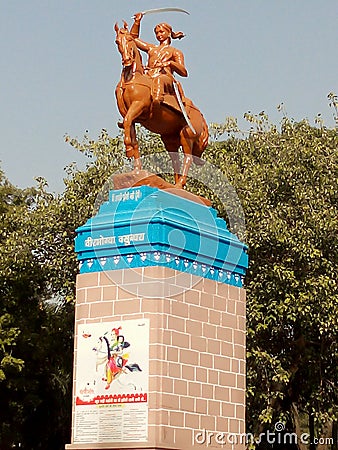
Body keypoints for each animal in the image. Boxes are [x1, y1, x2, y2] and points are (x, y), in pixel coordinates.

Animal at [114, 23, 209, 188]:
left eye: (130, 39)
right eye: (117, 41)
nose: (127, 60)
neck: (131, 78)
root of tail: (200, 116)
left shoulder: (137, 106)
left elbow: (127, 125)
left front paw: (128, 150)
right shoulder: (131, 116)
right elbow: (132, 136)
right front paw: (136, 170)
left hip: (186, 135)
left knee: (188, 158)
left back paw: (179, 185)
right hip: (169, 139)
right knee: (175, 160)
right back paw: (176, 185)